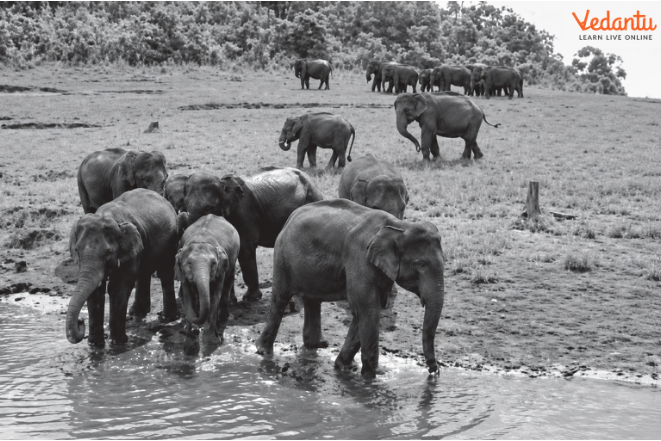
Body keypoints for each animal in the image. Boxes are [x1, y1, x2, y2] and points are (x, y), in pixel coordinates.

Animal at [66, 188, 179, 347]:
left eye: (108, 252)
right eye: (76, 250)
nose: (81, 321)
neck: (107, 216)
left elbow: (119, 287)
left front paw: (117, 343)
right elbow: (95, 291)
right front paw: (94, 344)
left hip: (171, 240)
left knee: (165, 272)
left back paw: (168, 318)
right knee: (144, 273)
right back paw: (137, 313)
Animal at [175, 214, 240, 349]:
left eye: (214, 263)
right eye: (189, 263)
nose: (195, 330)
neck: (201, 239)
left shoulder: (220, 268)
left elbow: (214, 295)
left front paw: (212, 341)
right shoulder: (183, 273)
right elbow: (188, 295)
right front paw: (190, 342)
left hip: (234, 257)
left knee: (228, 283)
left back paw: (223, 318)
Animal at [180, 167, 324, 302]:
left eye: (208, 208)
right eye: (185, 204)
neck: (222, 183)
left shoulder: (244, 213)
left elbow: (245, 249)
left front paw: (250, 298)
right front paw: (232, 300)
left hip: (312, 198)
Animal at [255, 199, 445, 379]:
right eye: (421, 265)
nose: (434, 371)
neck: (399, 226)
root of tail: (290, 217)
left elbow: (366, 310)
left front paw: (343, 366)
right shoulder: (359, 259)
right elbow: (367, 309)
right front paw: (372, 376)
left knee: (312, 300)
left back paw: (316, 345)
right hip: (282, 257)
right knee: (280, 298)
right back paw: (263, 351)